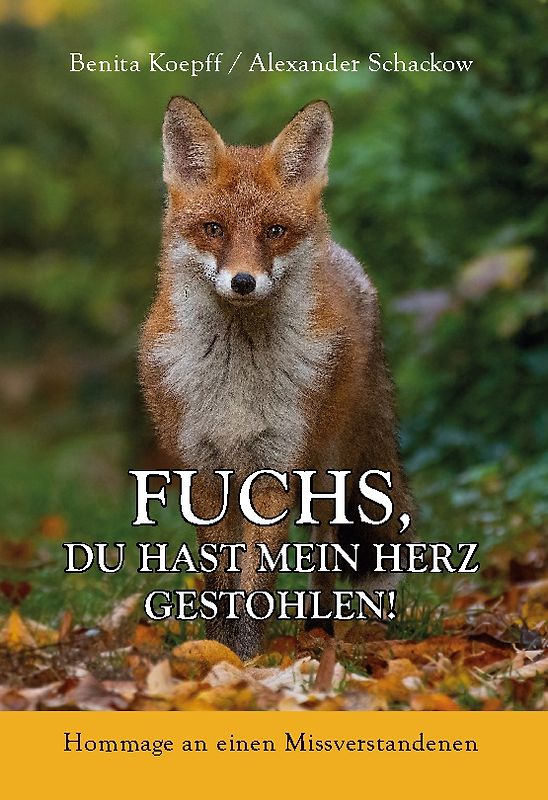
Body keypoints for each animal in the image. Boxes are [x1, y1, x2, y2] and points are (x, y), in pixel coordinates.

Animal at [138, 97, 414, 660]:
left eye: (273, 231)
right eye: (214, 228)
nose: (243, 281)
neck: (237, 385)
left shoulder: (276, 467)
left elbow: (256, 583)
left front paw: (247, 660)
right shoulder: (204, 469)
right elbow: (220, 580)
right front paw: (218, 651)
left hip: (329, 472)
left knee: (328, 552)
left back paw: (319, 631)